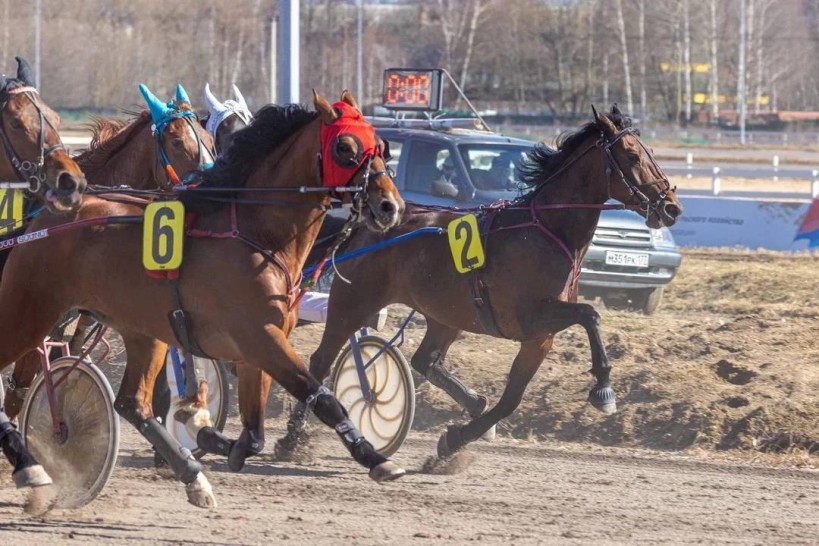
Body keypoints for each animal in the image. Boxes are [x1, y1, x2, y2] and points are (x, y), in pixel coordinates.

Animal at [274, 104, 683, 462]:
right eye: (632, 155)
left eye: (648, 151)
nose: (671, 207)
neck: (545, 231)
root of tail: (364, 226)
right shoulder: (529, 316)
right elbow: (590, 314)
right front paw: (603, 388)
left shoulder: (539, 338)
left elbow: (510, 400)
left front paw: (454, 441)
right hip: (354, 301)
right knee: (321, 361)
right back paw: (291, 441)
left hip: (444, 315)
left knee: (425, 360)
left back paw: (471, 402)